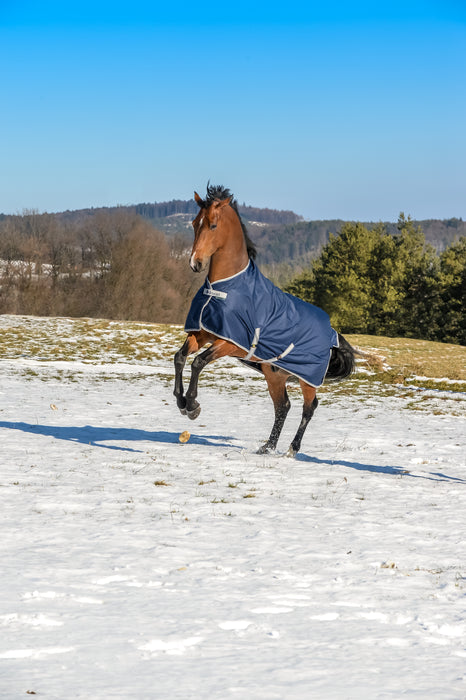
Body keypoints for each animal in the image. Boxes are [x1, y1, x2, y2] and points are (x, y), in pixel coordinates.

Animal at [174, 184, 356, 457]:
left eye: (213, 225)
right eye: (195, 223)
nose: (195, 263)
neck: (223, 287)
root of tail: (332, 332)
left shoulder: (231, 343)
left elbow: (198, 362)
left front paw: (192, 405)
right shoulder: (203, 332)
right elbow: (181, 357)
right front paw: (181, 401)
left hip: (307, 379)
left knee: (309, 407)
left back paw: (292, 449)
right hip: (275, 374)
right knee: (283, 406)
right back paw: (267, 446)